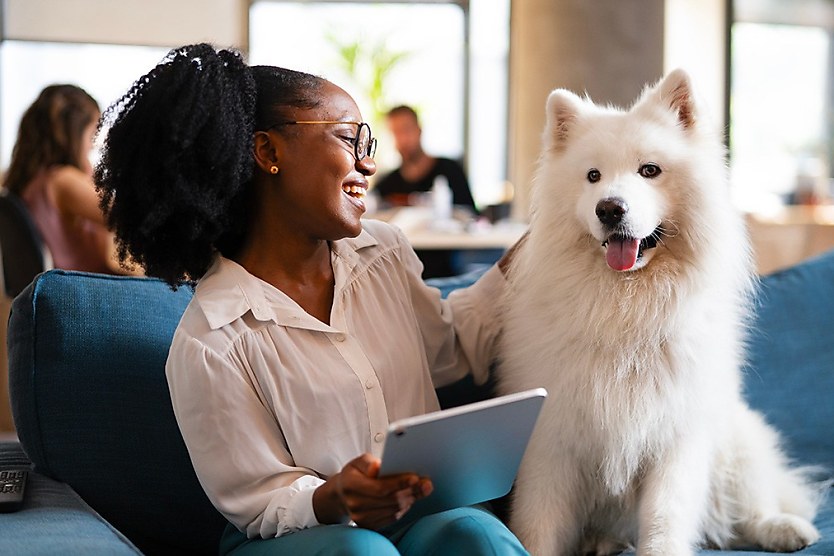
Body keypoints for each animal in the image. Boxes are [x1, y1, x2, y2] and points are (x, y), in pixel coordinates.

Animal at [498, 69, 824, 556]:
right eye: (592, 176)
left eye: (649, 170)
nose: (609, 208)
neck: (627, 309)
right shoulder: (553, 439)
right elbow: (539, 524)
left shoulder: (675, 440)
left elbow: (664, 521)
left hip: (739, 439)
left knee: (754, 506)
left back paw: (784, 529)